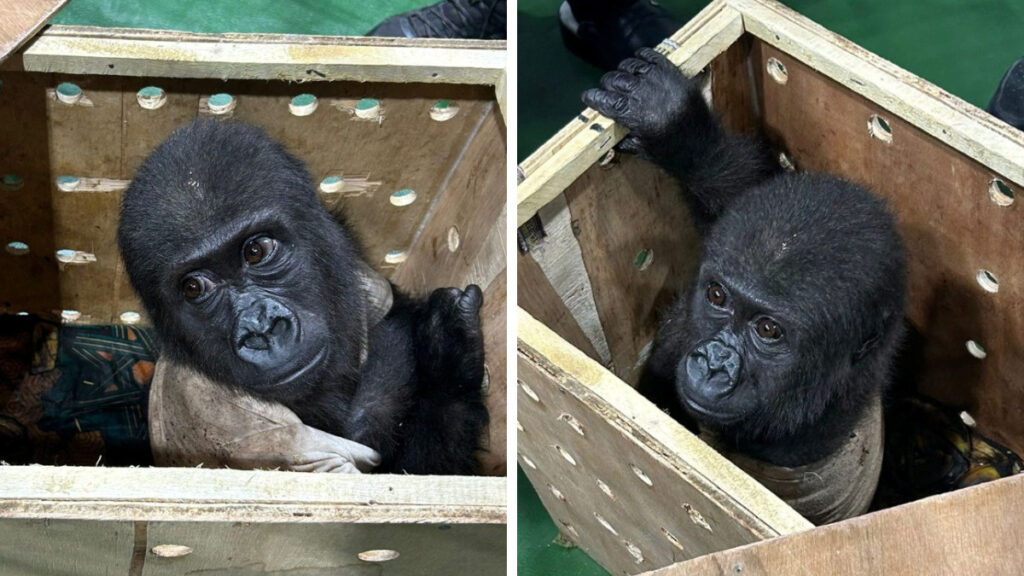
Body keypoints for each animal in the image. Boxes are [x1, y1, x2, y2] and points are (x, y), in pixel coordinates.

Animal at [119, 118, 487, 473]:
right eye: (194, 287)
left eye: (256, 251)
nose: (261, 328)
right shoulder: (254, 432)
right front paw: (448, 363)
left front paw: (445, 350)